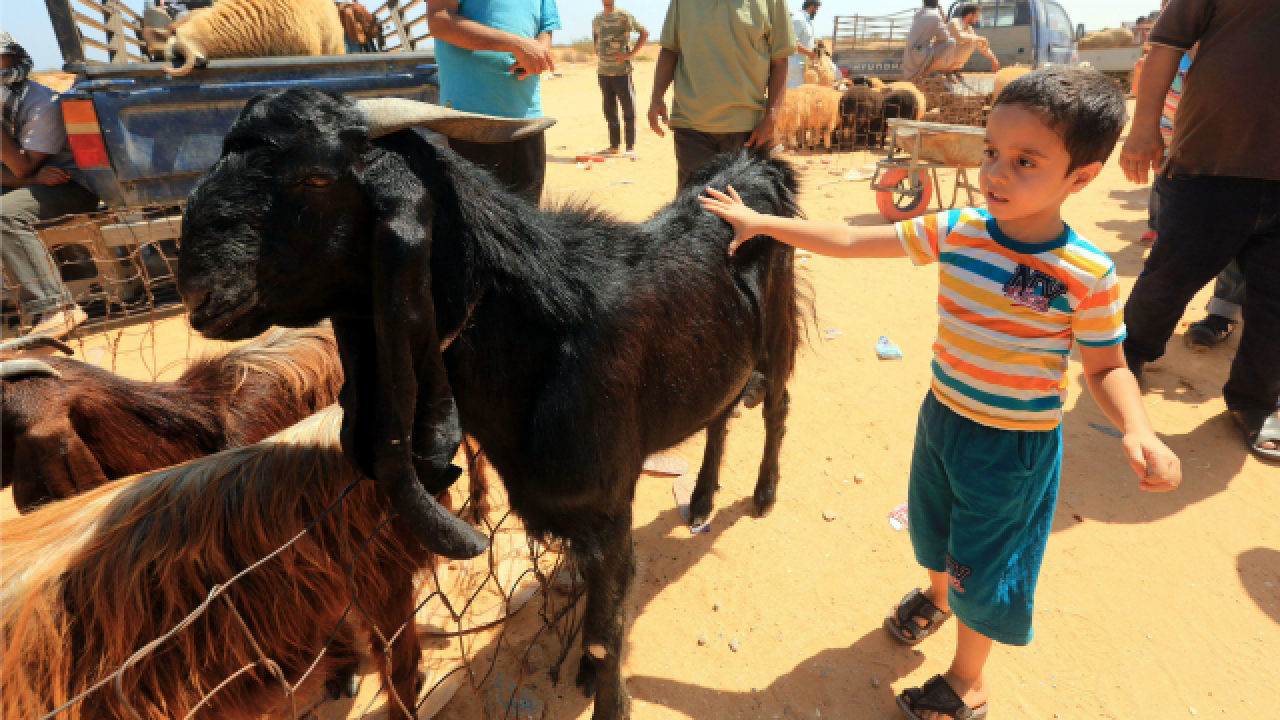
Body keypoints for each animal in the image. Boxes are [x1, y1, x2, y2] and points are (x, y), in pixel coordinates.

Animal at [175, 88, 806, 720]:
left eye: (316, 178)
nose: (196, 291)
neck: (544, 335)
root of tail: (757, 164)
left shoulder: (607, 513)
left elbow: (608, 629)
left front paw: (607, 694)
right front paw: (582, 670)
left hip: (777, 333)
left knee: (777, 407)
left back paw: (764, 494)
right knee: (722, 412)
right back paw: (699, 501)